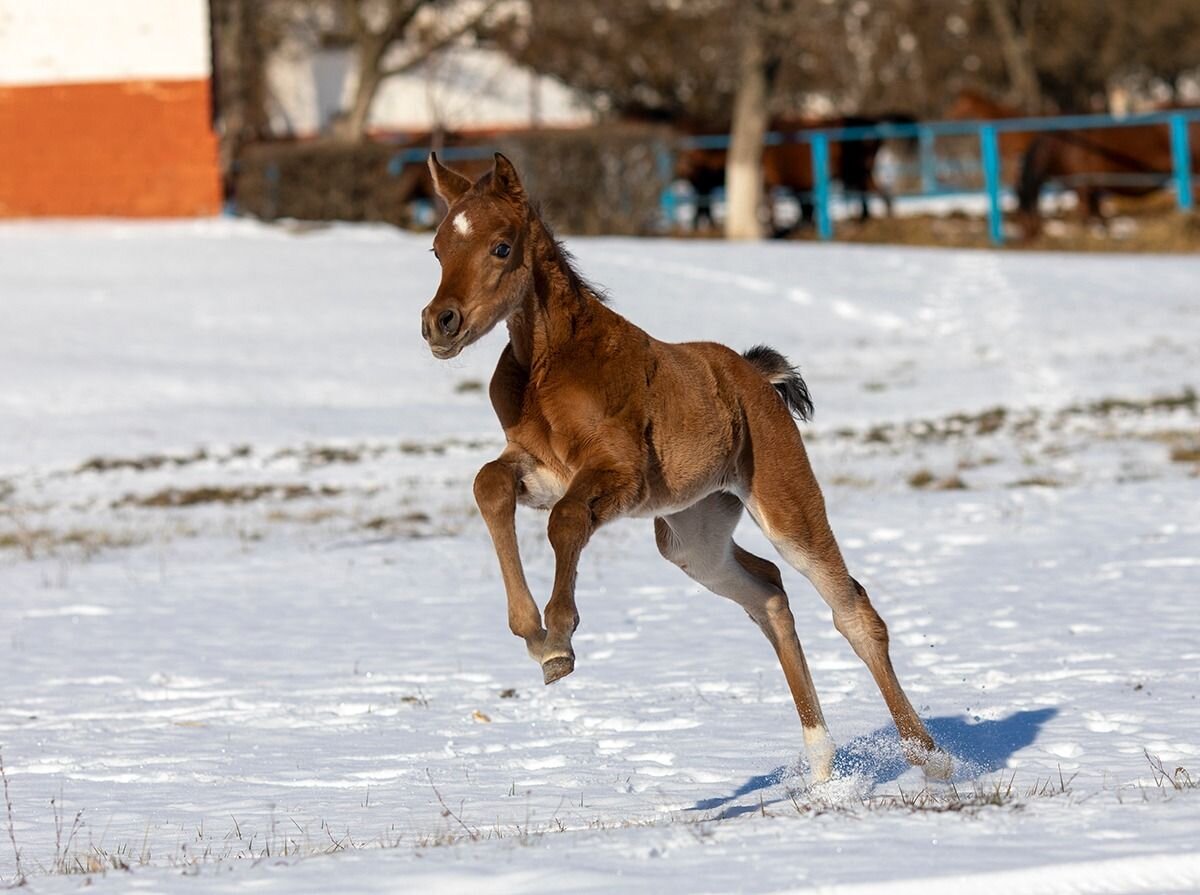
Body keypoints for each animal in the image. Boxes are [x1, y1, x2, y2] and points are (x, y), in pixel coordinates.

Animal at [422, 151, 955, 782]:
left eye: (501, 247)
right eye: (437, 249)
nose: (440, 322)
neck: (548, 369)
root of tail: (755, 377)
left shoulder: (620, 475)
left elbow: (565, 521)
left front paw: (557, 639)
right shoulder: (541, 469)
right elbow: (490, 485)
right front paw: (533, 633)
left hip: (785, 503)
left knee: (851, 610)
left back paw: (931, 760)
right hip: (692, 539)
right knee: (769, 595)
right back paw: (823, 770)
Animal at [672, 113, 912, 235]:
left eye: (689, 162)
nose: (680, 171)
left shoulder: (774, 181)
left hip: (855, 172)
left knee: (869, 192)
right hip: (858, 172)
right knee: (874, 192)